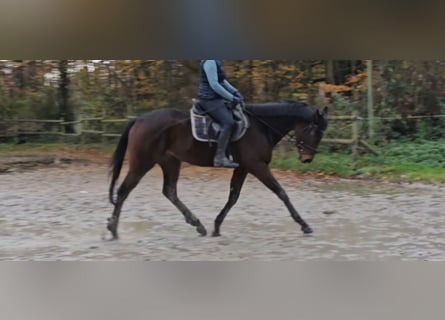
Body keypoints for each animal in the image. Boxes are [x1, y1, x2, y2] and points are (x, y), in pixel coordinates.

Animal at [106, 101, 326, 239]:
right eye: (314, 130)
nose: (307, 159)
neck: (260, 127)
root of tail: (139, 119)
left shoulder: (244, 167)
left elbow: (233, 197)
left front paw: (217, 226)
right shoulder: (257, 166)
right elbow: (281, 192)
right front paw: (304, 225)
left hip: (170, 162)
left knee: (170, 191)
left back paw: (198, 225)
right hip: (142, 163)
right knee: (124, 190)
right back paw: (113, 229)